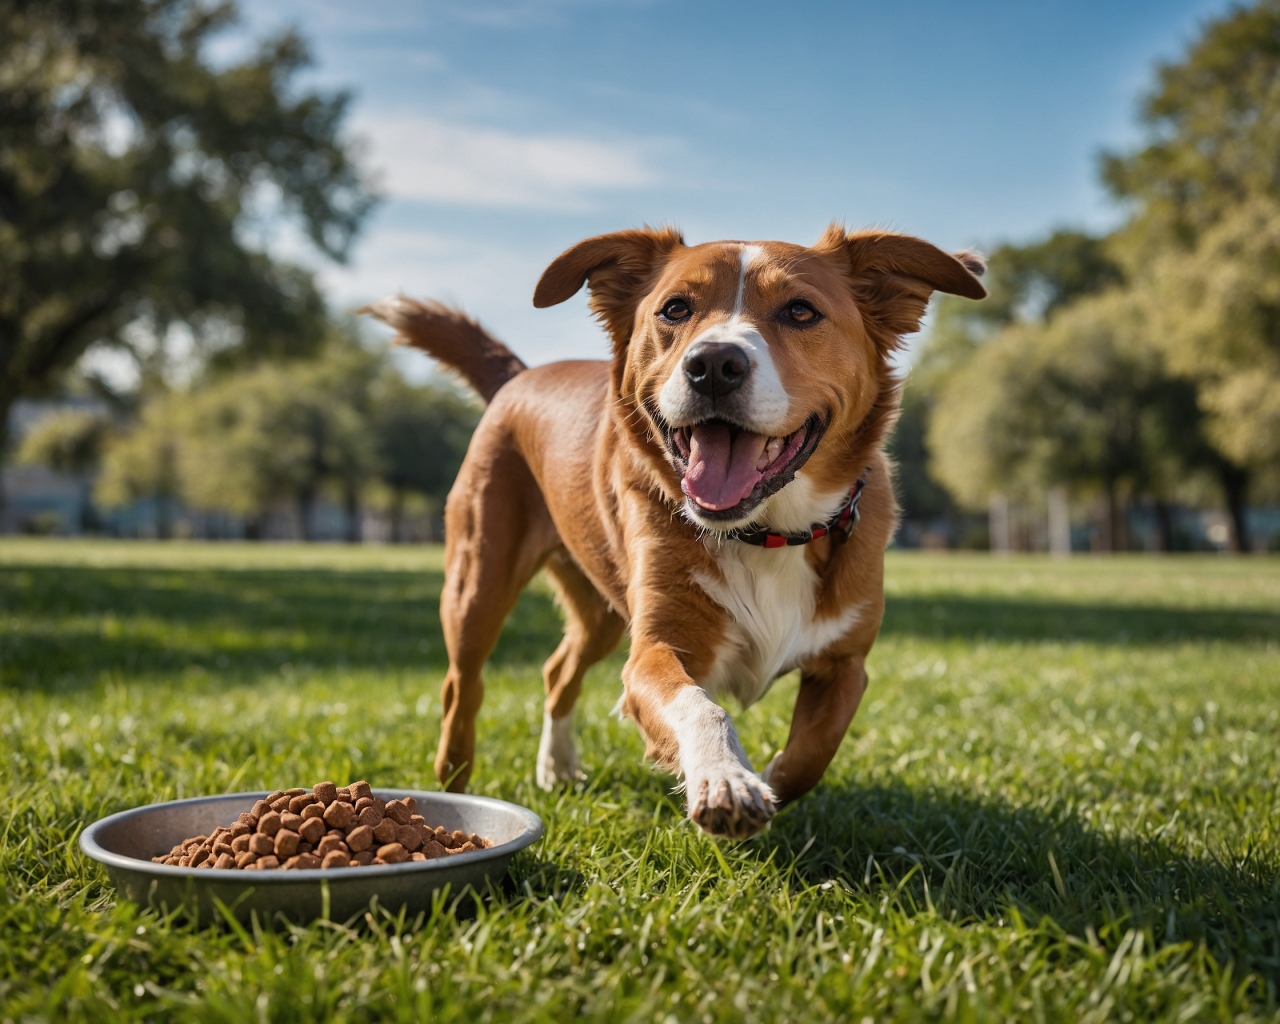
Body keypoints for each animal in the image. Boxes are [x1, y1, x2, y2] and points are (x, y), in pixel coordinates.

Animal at [366, 227, 983, 834]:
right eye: (675, 308)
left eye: (801, 311)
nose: (713, 364)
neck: (766, 532)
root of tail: (520, 378)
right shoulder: (655, 650)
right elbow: (700, 706)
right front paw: (725, 777)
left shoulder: (846, 665)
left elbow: (813, 754)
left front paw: (770, 780)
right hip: (478, 584)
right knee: (461, 687)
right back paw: (453, 791)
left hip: (601, 611)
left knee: (557, 669)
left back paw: (557, 767)